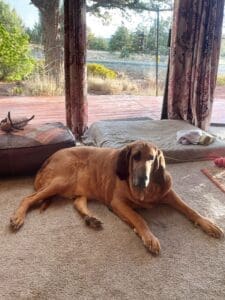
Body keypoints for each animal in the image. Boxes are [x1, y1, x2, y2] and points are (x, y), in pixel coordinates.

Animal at [10, 142, 221, 254]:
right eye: (135, 157)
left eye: (152, 158)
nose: (141, 180)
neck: (146, 192)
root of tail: (46, 161)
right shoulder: (118, 203)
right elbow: (140, 219)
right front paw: (148, 236)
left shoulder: (170, 194)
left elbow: (190, 209)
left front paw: (207, 223)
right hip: (60, 181)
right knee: (27, 198)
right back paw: (18, 217)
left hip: (81, 190)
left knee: (78, 203)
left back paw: (91, 219)